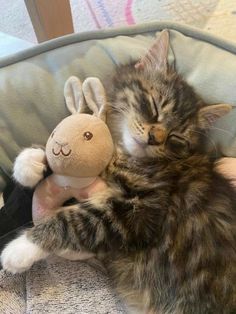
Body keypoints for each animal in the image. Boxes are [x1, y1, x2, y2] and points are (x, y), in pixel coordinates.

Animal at [1, 30, 236, 314]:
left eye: (176, 136)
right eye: (154, 107)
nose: (154, 138)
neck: (122, 154)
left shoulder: (138, 213)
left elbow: (73, 220)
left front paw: (21, 248)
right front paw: (30, 161)